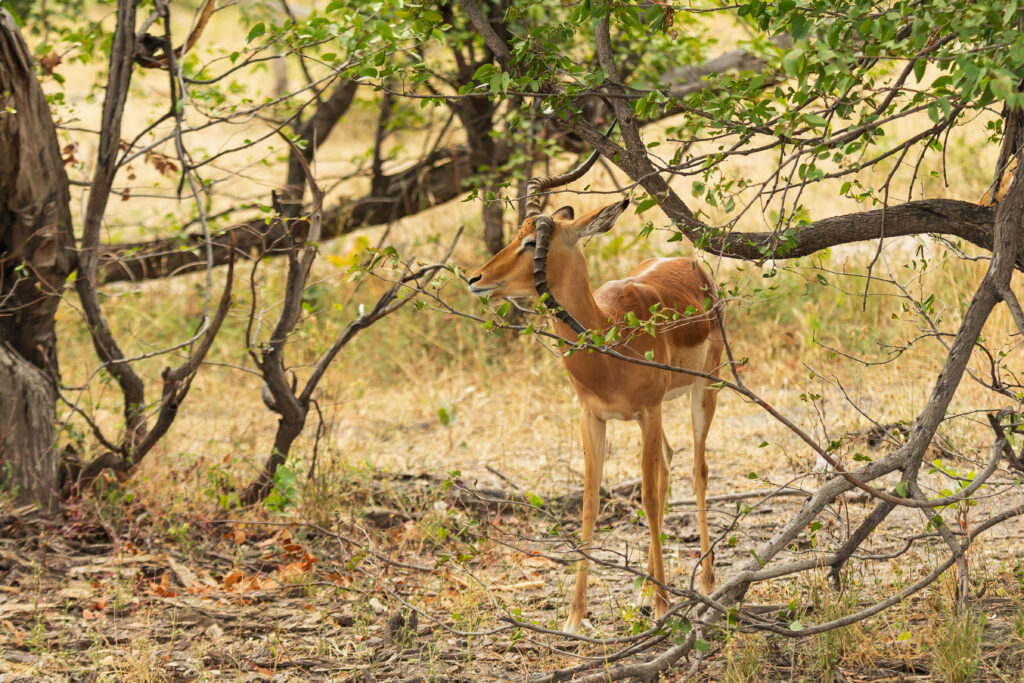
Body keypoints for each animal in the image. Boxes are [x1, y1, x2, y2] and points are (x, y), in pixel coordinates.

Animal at [466, 156, 724, 633]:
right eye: (515, 234)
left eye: (532, 241)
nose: (476, 278)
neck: (609, 333)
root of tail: (691, 263)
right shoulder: (593, 417)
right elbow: (590, 503)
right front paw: (574, 617)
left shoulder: (647, 411)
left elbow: (647, 499)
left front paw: (663, 607)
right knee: (668, 464)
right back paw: (643, 592)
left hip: (704, 388)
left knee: (697, 469)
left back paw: (707, 583)